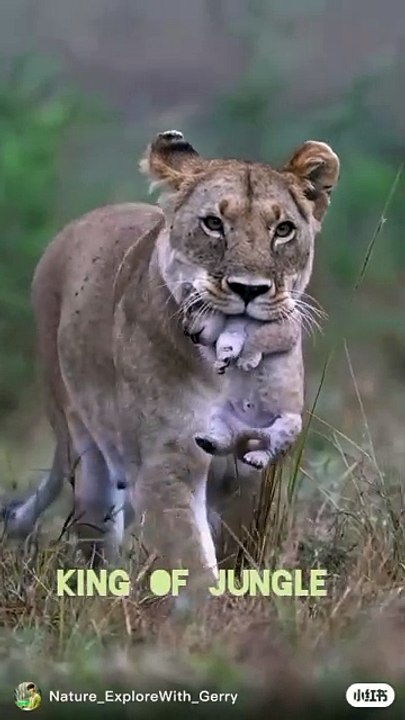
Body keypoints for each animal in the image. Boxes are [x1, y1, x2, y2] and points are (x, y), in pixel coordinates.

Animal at [1, 130, 339, 592]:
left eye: (283, 230)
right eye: (213, 223)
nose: (249, 289)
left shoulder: (253, 475)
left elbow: (240, 547)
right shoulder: (167, 461)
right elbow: (190, 561)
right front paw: (206, 610)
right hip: (85, 451)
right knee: (96, 536)